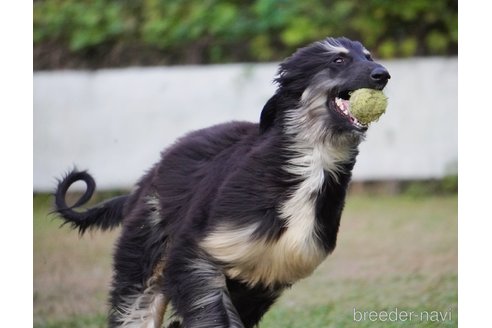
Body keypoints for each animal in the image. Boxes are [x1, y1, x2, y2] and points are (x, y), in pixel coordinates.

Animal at [53, 37, 390, 326]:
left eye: (368, 56)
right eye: (338, 59)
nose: (383, 74)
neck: (311, 165)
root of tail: (147, 177)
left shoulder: (264, 275)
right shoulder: (195, 252)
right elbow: (210, 311)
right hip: (146, 249)